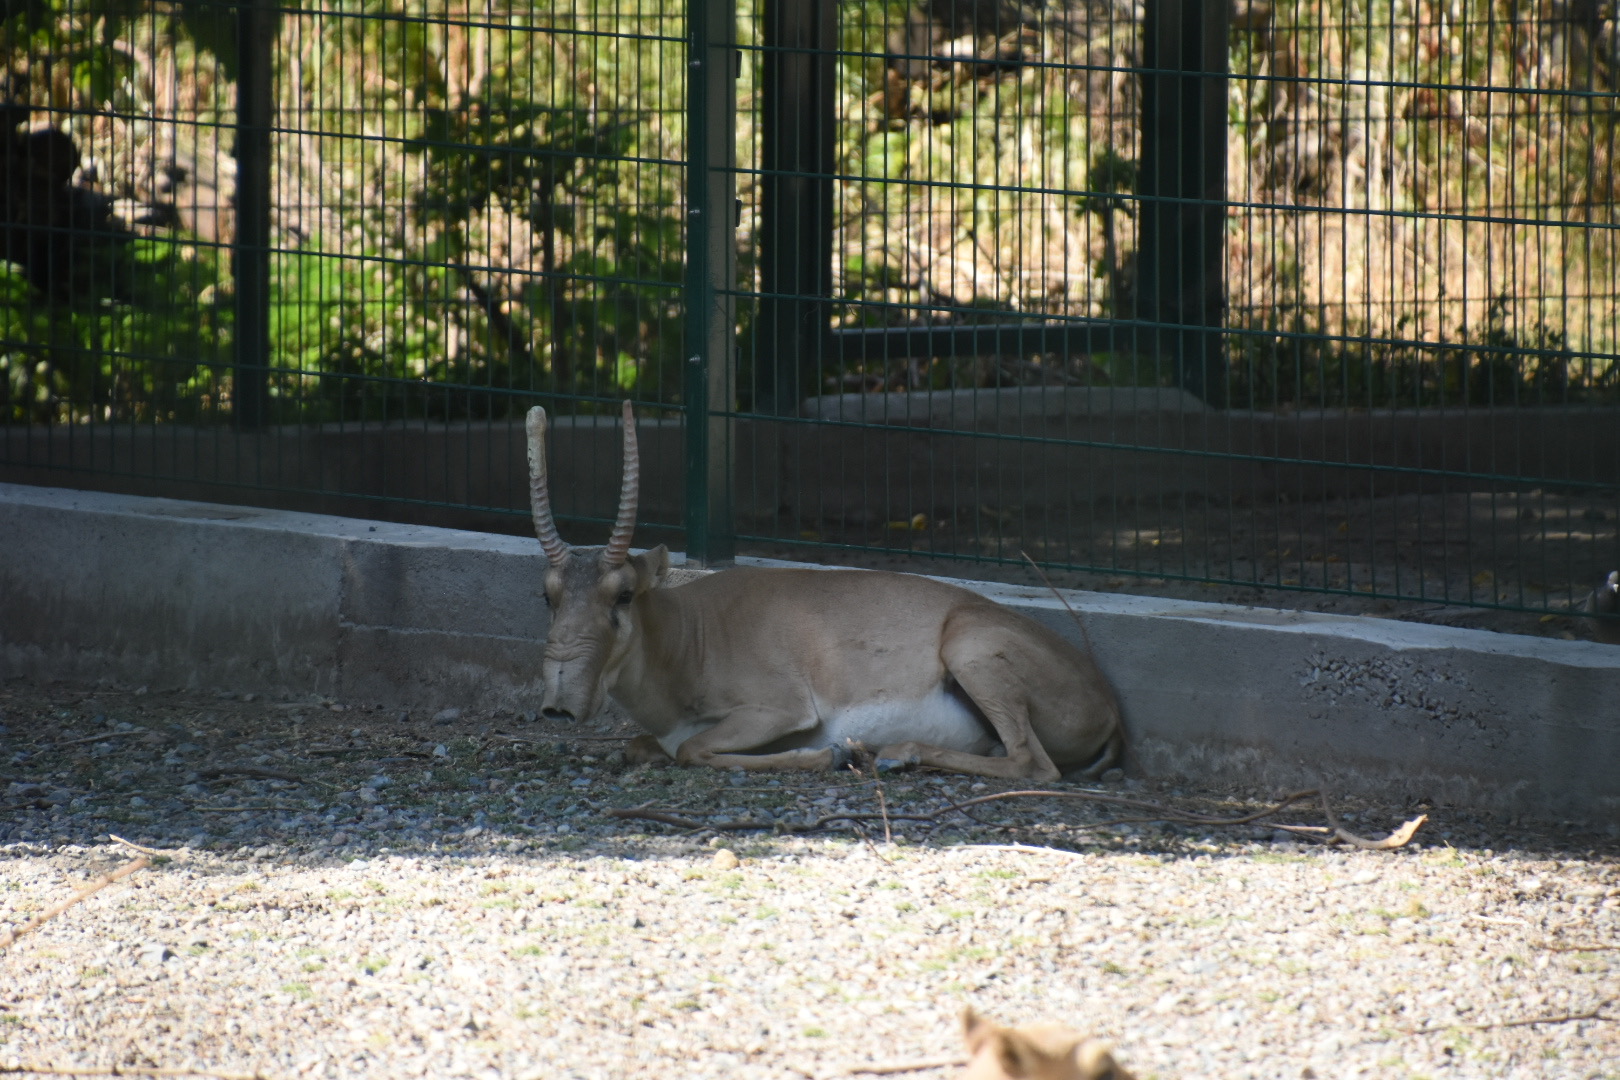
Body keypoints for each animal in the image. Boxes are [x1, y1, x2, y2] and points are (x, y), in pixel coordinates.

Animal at [526, 402, 1122, 779]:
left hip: (971, 650)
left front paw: (831, 756)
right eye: (548, 595)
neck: (687, 635)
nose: (558, 704)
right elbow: (640, 746)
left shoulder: (779, 709)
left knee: (1033, 764)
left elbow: (692, 748)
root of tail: (1109, 707)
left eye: (623, 595)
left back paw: (894, 755)